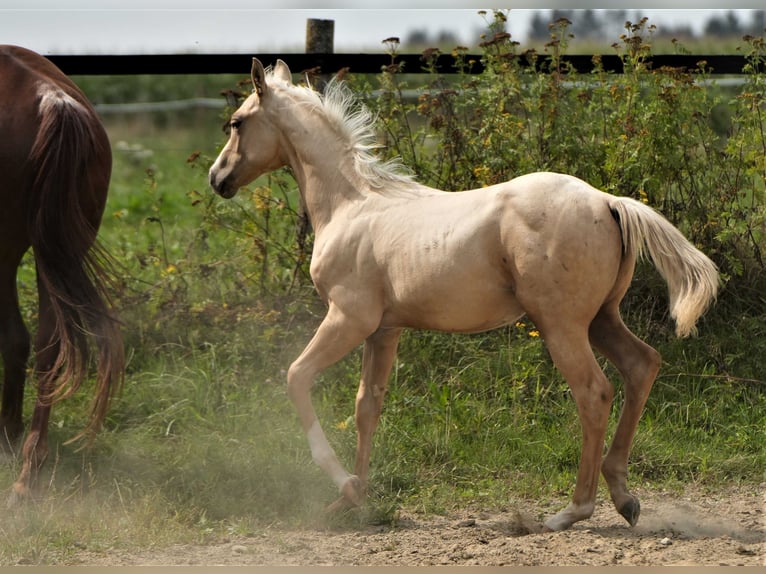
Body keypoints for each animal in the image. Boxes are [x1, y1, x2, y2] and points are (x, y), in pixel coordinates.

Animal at [209, 58, 719, 531]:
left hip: (562, 325)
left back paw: (571, 511)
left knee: (594, 393)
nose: (217, 178)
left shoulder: (348, 318)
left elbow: (296, 377)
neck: (350, 205)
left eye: (237, 121)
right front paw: (354, 500)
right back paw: (625, 498)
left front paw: (346, 486)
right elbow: (366, 406)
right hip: (601, 319)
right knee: (641, 365)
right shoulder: (384, 330)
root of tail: (608, 201)